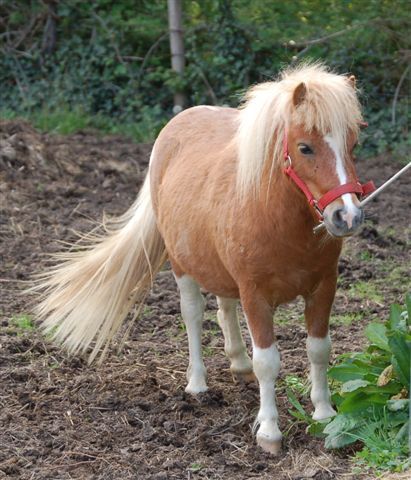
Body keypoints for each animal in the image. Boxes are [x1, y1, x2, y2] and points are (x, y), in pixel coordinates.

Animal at [35, 63, 375, 455]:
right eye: (305, 148)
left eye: (354, 145)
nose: (347, 216)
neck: (277, 216)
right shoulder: (255, 295)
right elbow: (267, 362)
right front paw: (269, 431)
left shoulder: (323, 287)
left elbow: (319, 349)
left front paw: (324, 414)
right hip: (182, 266)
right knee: (194, 316)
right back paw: (197, 384)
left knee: (224, 308)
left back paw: (238, 363)